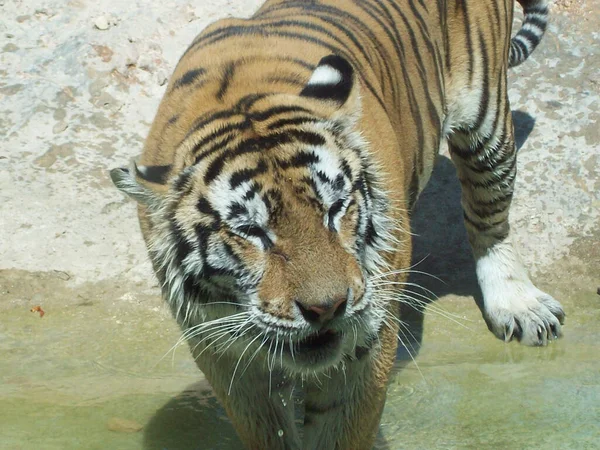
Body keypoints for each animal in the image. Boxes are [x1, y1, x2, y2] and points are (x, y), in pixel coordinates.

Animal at [110, 0, 564, 446]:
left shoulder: (367, 341)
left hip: (486, 121)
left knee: (490, 217)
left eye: (335, 209)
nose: (327, 309)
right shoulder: (221, 350)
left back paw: (520, 307)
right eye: (252, 232)